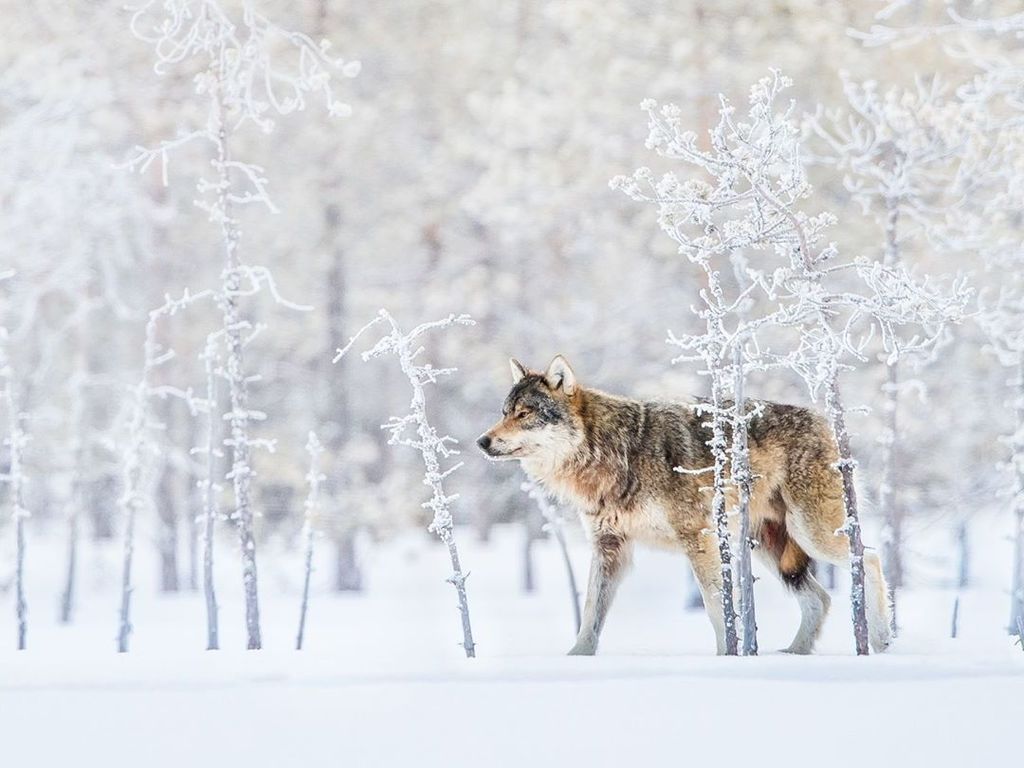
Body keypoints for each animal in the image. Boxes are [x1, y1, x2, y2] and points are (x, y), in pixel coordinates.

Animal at [477, 355, 892, 656]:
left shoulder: (699, 538)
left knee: (870, 559)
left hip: (812, 535)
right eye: (504, 412)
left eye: (525, 414)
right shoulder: (609, 547)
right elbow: (590, 614)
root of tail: (822, 419)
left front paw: (728, 658)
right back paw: (794, 653)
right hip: (772, 549)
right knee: (820, 598)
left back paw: (881, 639)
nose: (482, 441)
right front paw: (576, 660)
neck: (616, 454)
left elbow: (716, 606)